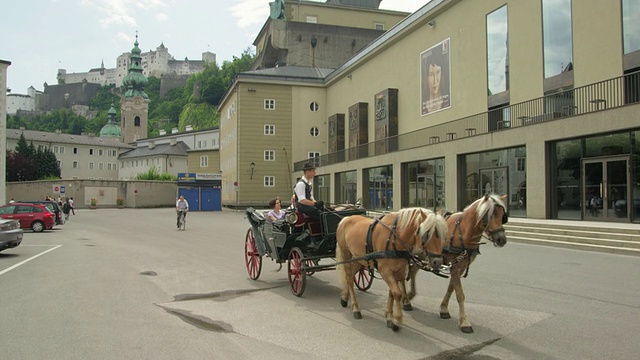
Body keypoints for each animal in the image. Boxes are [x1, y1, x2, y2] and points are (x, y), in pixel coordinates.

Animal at [402, 195, 508, 334]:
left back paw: (410, 295)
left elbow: (451, 288)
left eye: (502, 216)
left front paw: (443, 309)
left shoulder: (459, 266)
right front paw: (464, 322)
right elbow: (460, 294)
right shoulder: (454, 266)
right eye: (488, 216)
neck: (462, 232)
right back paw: (405, 299)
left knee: (413, 271)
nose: (502, 239)